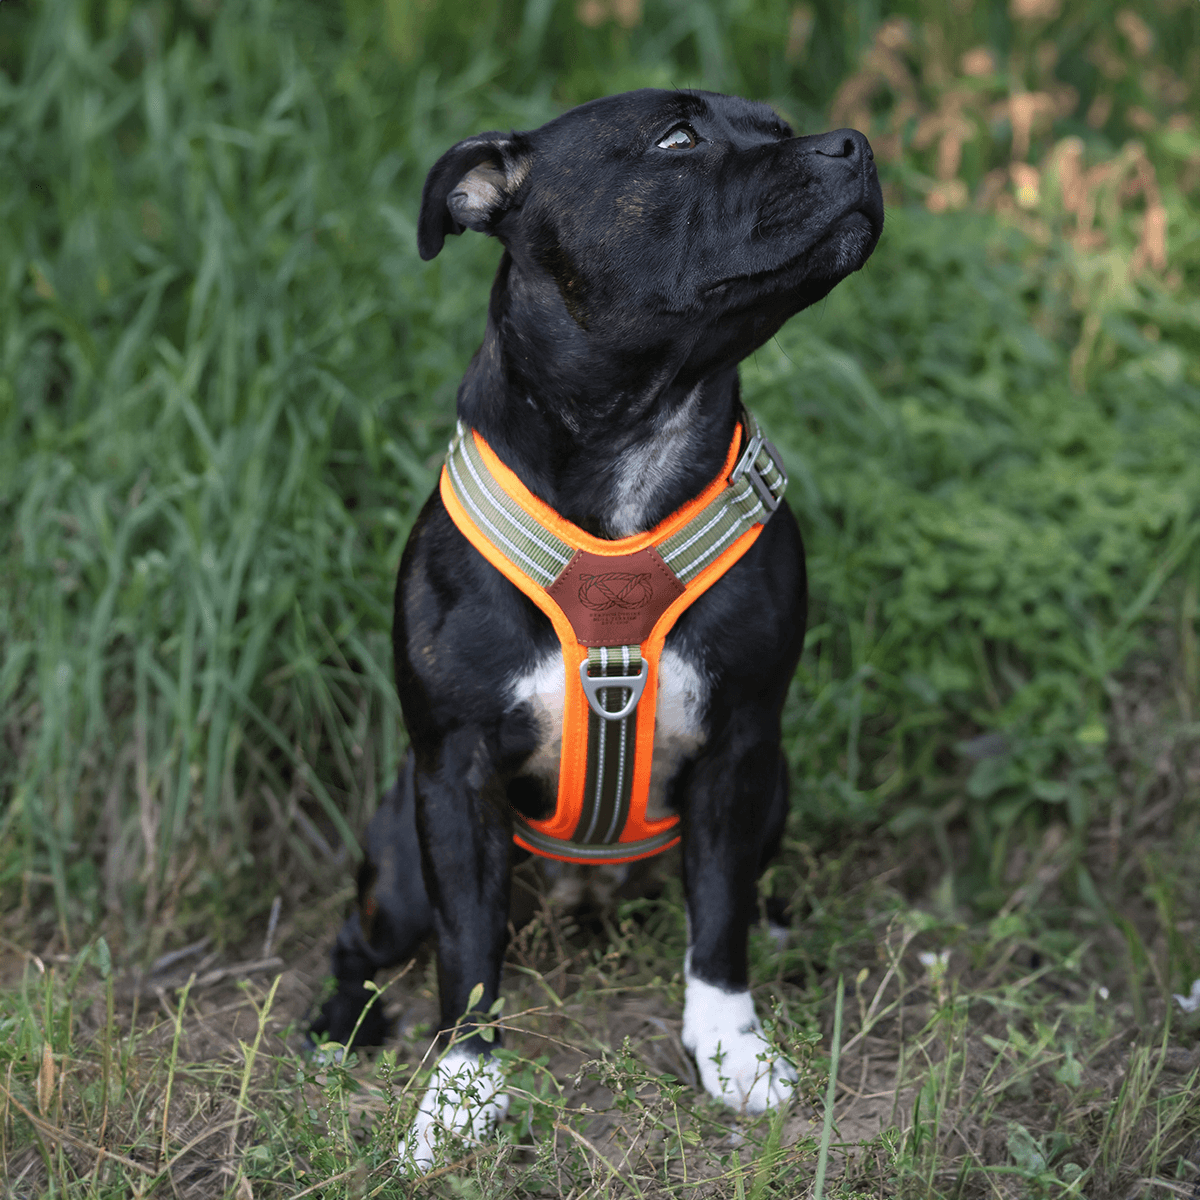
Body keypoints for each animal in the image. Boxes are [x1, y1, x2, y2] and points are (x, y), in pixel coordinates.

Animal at [314, 87, 883, 1161]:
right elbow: (468, 955)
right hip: (400, 859)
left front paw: (733, 1051)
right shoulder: (454, 773)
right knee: (362, 939)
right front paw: (461, 1089)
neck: (641, 431)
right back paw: (339, 1024)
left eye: (779, 124)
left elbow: (717, 922)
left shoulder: (742, 748)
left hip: (777, 791)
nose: (855, 143)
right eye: (679, 138)